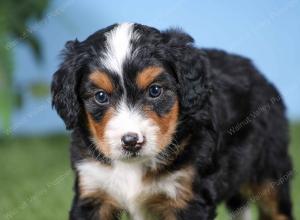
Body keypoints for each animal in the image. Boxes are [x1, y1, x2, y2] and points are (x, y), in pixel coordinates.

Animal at [51, 23, 292, 219]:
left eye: (155, 91)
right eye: (100, 96)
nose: (131, 142)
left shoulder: (186, 196)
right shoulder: (93, 189)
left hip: (270, 168)